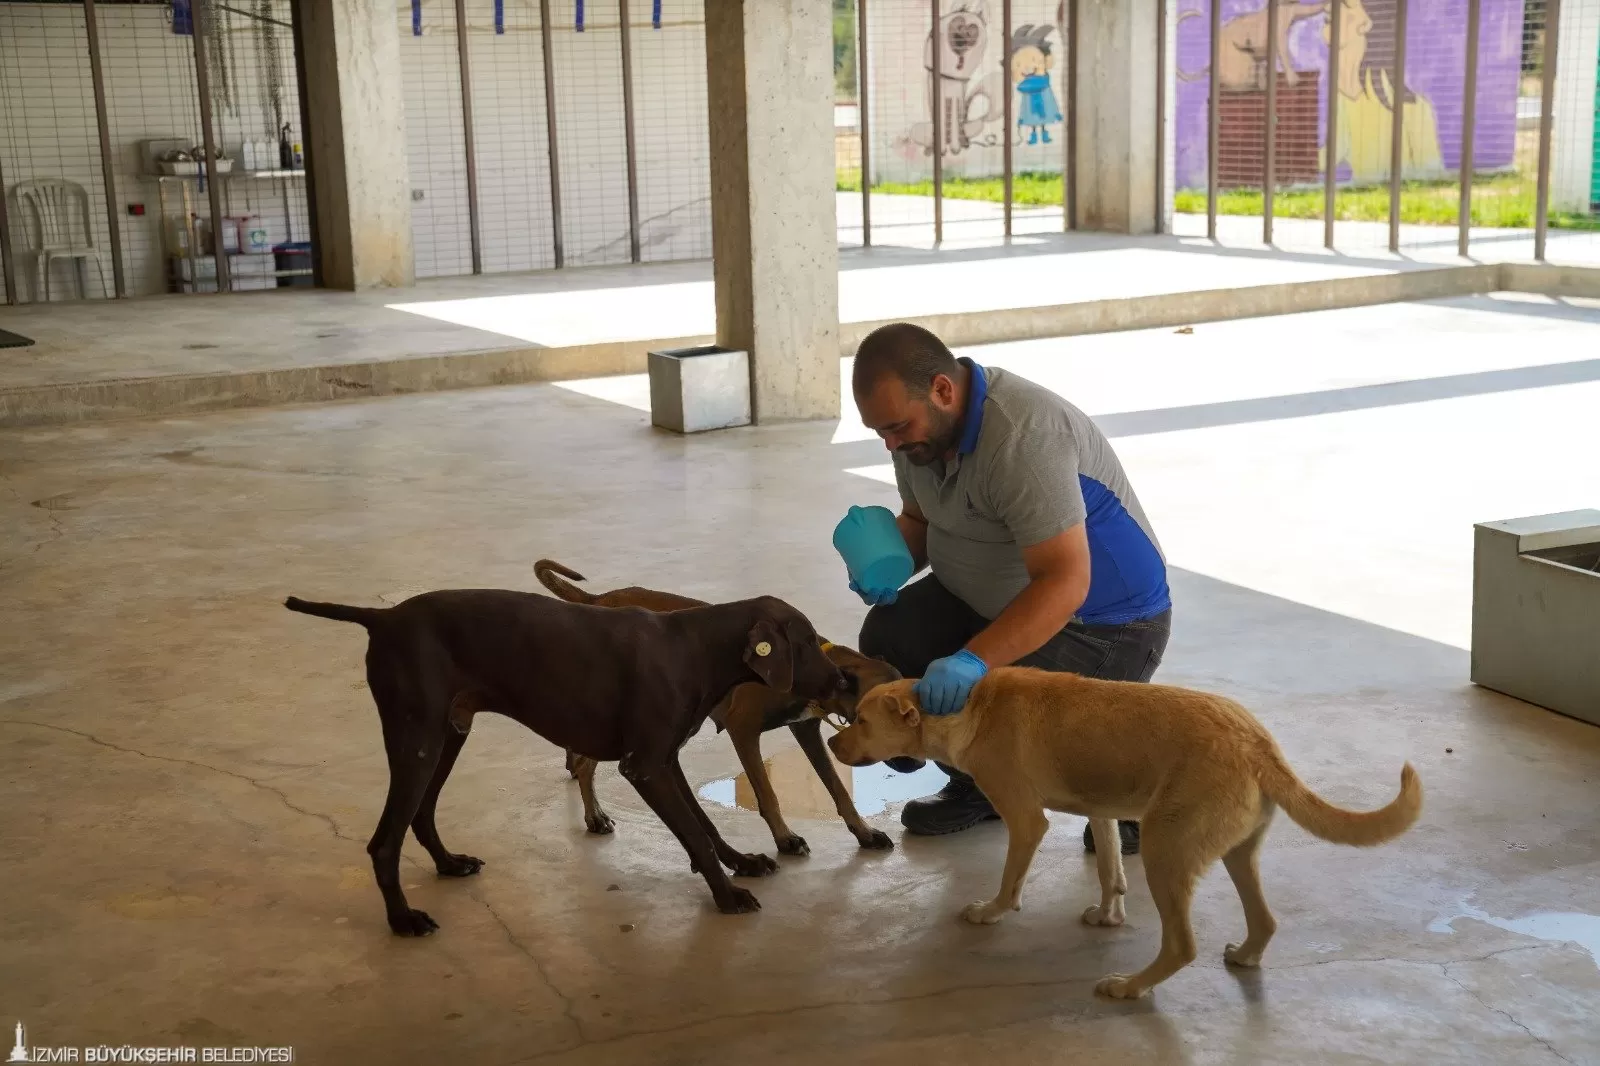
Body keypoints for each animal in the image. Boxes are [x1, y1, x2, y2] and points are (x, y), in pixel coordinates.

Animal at [832, 669, 1420, 992]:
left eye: (860, 720)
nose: (832, 742)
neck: (968, 705)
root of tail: (1257, 742)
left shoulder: (1026, 820)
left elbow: (1010, 881)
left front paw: (992, 911)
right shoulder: (1103, 811)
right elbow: (1111, 870)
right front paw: (1108, 915)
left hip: (1166, 851)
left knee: (1182, 946)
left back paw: (1131, 987)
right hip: (1235, 853)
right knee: (1265, 920)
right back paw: (1246, 955)